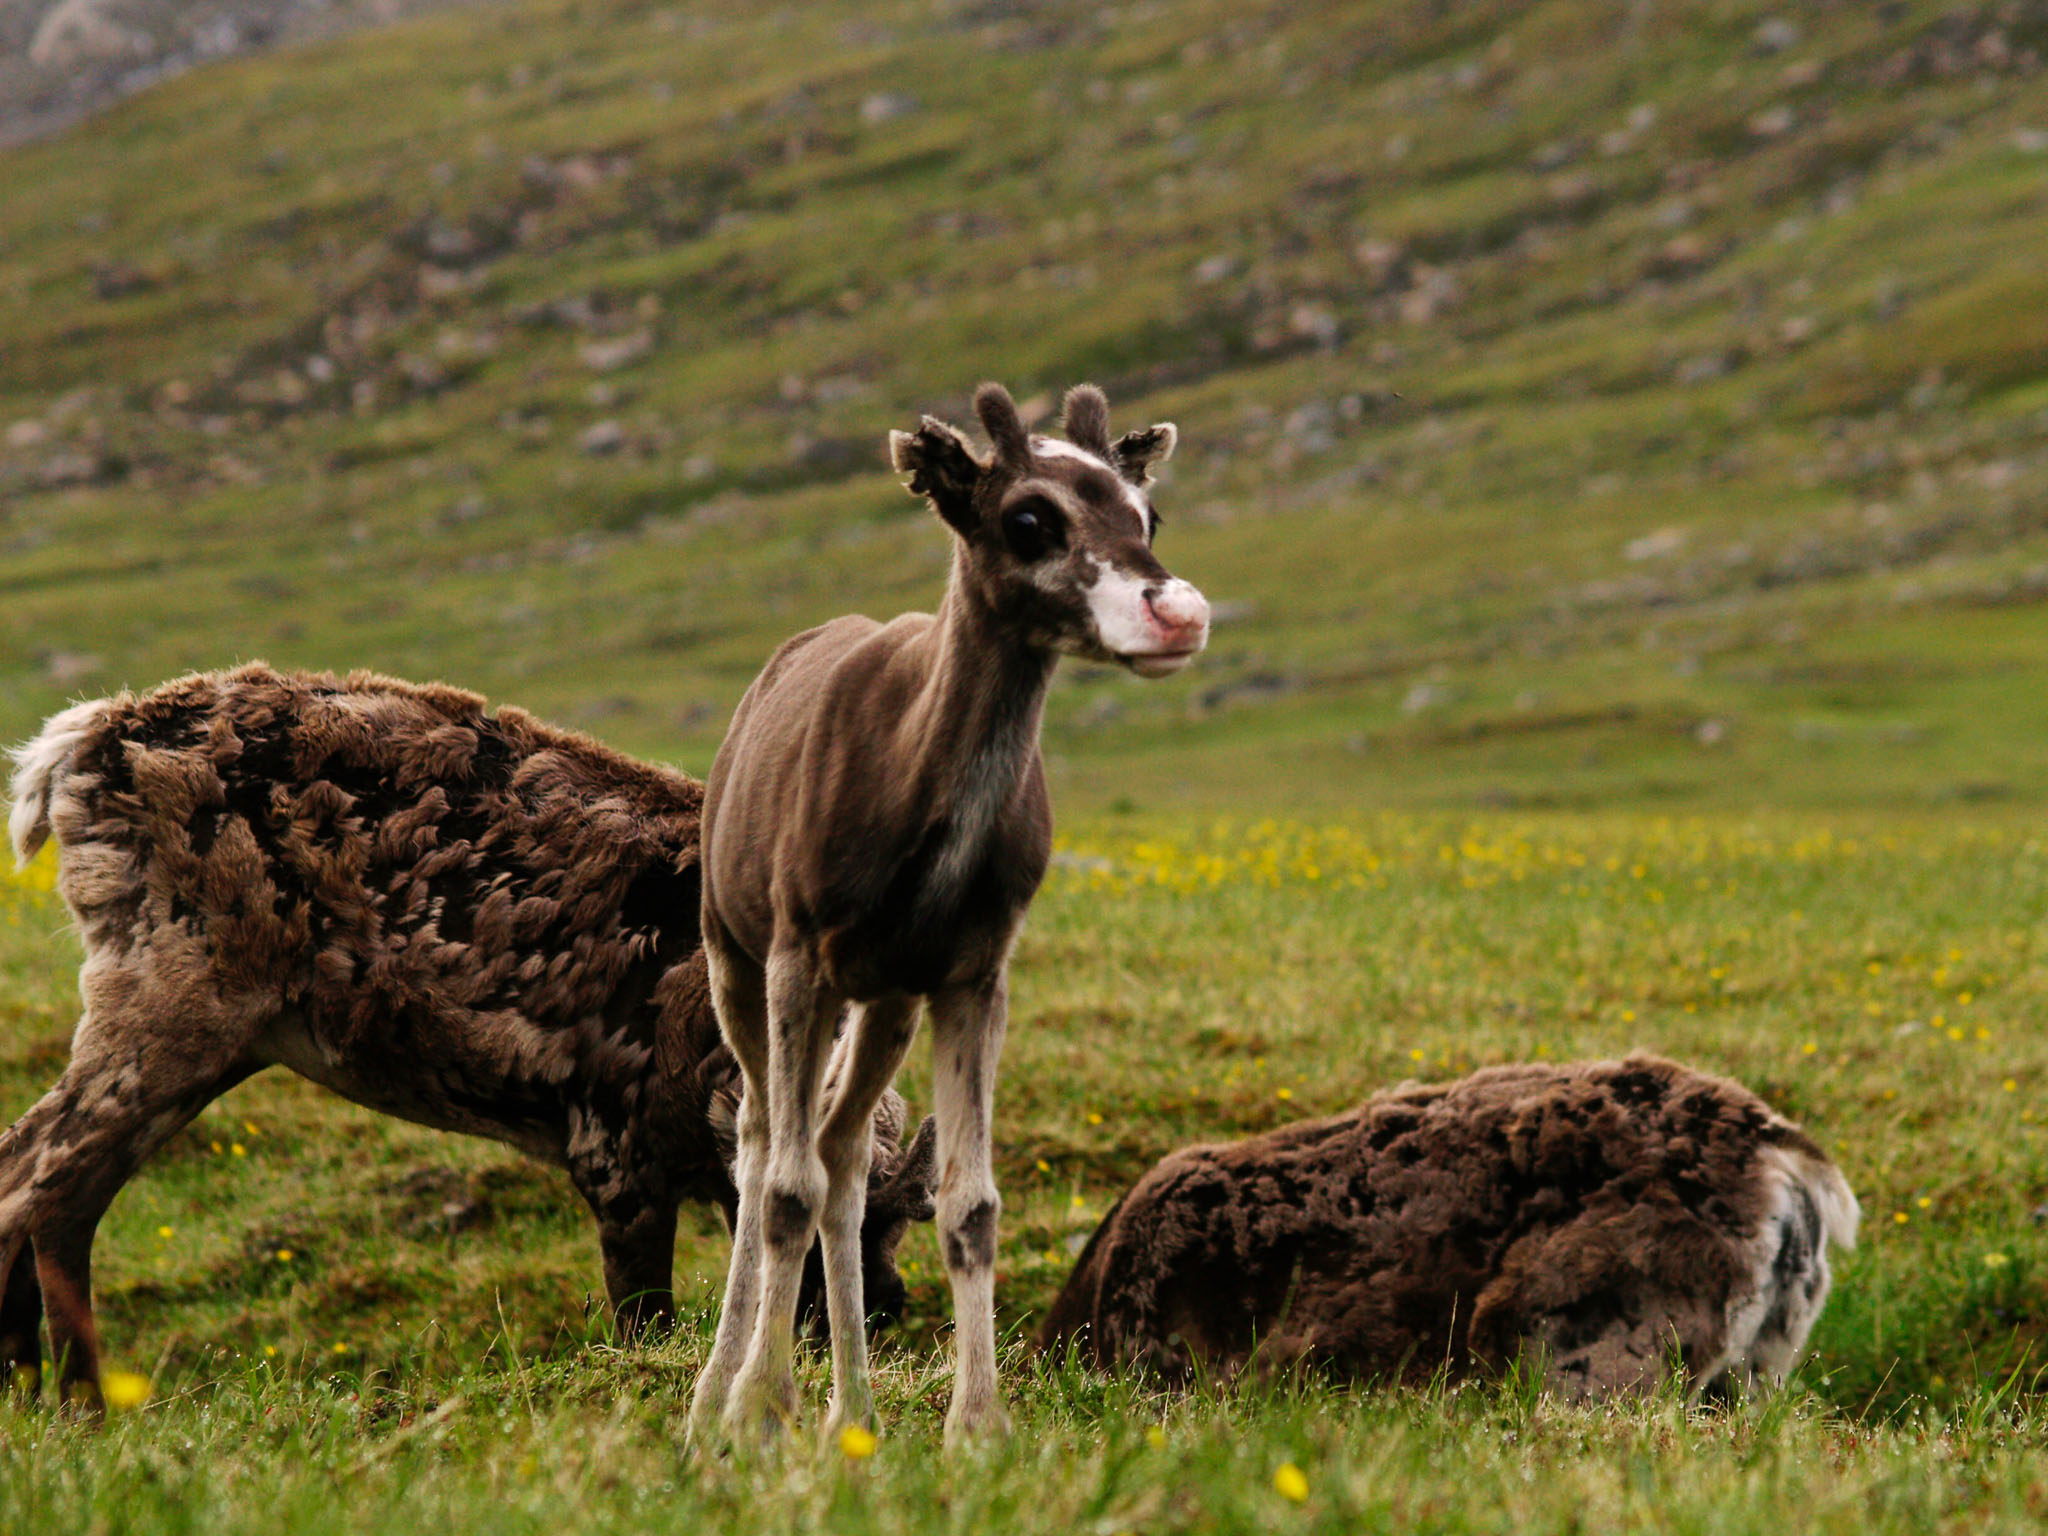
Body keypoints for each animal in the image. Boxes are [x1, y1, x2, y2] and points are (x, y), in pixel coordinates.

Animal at [2, 667, 937, 1417]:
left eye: (893, 1224)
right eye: (814, 1226)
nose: (885, 1309)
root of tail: (71, 748)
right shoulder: (614, 1145)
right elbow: (643, 1318)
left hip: (224, 1031)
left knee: (33, 1176)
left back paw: (27, 1395)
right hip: (173, 994)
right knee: (48, 1181)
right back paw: (83, 1404)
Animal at [692, 385, 1196, 1458]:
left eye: (1149, 515)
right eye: (1029, 517)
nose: (1175, 613)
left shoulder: (973, 970)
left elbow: (970, 1204)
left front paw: (979, 1426)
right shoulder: (797, 949)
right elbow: (784, 1188)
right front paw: (758, 1409)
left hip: (884, 996)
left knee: (841, 1150)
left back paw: (853, 1409)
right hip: (733, 945)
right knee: (762, 1141)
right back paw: (717, 1397)